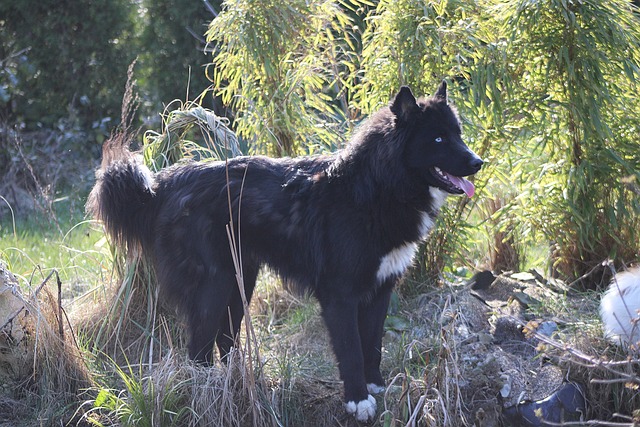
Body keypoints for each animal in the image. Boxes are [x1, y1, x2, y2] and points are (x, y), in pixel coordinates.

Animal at [87, 82, 482, 422]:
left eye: (458, 134)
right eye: (438, 138)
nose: (479, 162)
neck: (376, 186)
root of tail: (162, 184)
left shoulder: (381, 289)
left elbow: (373, 344)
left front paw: (375, 388)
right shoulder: (340, 296)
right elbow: (352, 350)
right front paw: (358, 401)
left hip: (240, 282)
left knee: (224, 339)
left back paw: (239, 384)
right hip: (213, 286)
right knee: (198, 350)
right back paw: (209, 395)